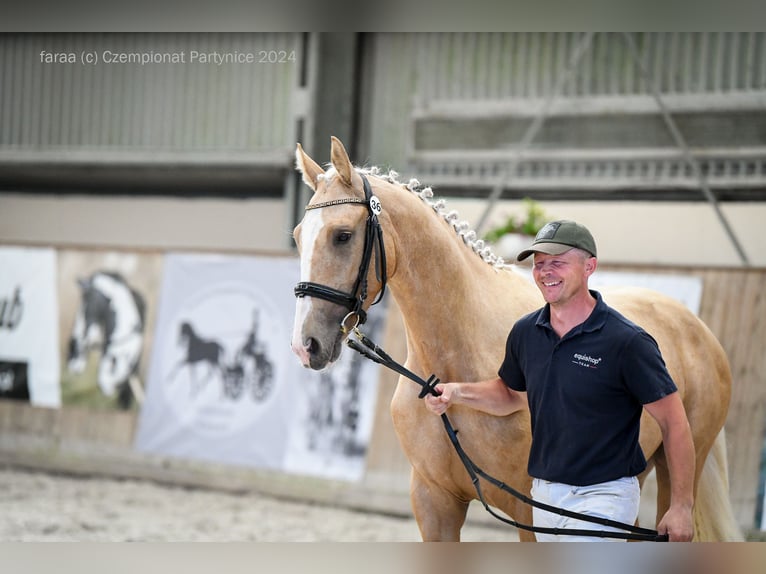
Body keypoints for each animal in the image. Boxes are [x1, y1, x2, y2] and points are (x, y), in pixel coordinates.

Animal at [290, 137, 744, 544]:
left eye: (343, 235)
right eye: (297, 236)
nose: (305, 344)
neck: (457, 350)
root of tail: (696, 326)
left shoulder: (531, 511)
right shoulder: (434, 501)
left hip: (677, 473)